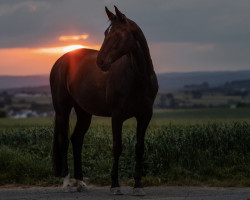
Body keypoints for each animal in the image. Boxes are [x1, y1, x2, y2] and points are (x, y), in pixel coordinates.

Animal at [49, 5, 158, 195]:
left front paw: (138, 186)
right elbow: (117, 147)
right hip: (62, 110)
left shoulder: (145, 116)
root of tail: (60, 61)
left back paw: (81, 183)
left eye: (117, 35)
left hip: (84, 112)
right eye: (106, 34)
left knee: (76, 139)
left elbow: (139, 148)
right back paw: (67, 183)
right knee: (64, 140)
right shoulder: (117, 116)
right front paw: (115, 185)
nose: (100, 62)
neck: (139, 78)